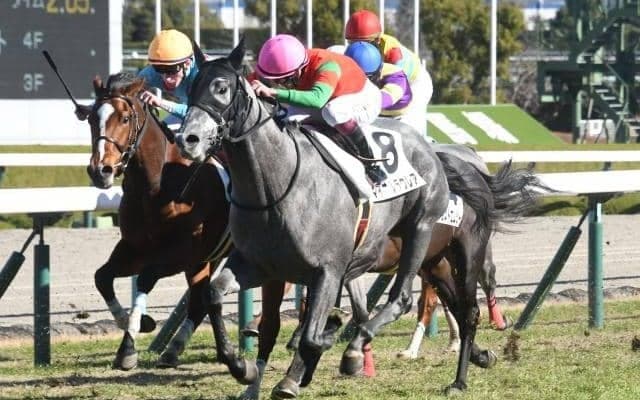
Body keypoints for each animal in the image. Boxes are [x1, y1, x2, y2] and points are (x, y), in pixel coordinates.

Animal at [84, 72, 231, 370]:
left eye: (124, 118)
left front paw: (128, 347)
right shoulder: (135, 247)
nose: (100, 171)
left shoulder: (183, 251)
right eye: (92, 118)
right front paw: (140, 323)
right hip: (207, 258)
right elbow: (102, 277)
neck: (157, 184)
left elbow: (146, 277)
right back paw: (176, 349)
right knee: (200, 300)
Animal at [175, 40, 533, 397]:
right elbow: (214, 295)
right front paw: (243, 366)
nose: (187, 139)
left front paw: (322, 355)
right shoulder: (260, 265)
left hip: (440, 240)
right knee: (457, 308)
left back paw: (445, 376)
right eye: (191, 88)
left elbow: (312, 334)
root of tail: (440, 156)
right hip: (436, 262)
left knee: (417, 301)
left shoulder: (329, 270)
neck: (275, 187)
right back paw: (479, 357)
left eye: (221, 88)